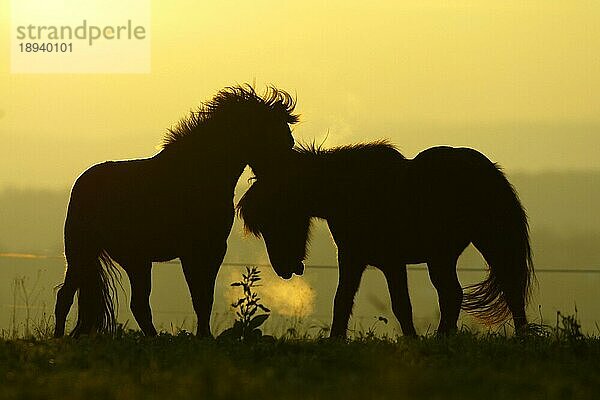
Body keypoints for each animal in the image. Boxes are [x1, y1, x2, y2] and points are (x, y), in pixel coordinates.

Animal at [55, 85, 298, 338]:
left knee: (133, 303)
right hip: (85, 253)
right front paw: (204, 336)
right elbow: (200, 297)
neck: (197, 173)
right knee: (68, 297)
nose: (285, 179)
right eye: (279, 138)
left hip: (133, 260)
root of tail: (82, 184)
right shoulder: (192, 251)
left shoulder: (213, 249)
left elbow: (205, 298)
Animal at [236, 142, 536, 336]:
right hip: (450, 253)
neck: (347, 191)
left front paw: (412, 342)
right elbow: (342, 301)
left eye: (276, 217)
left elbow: (401, 305)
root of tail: (489, 171)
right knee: (465, 292)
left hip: (474, 246)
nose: (284, 268)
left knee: (496, 289)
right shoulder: (354, 258)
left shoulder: (391, 262)